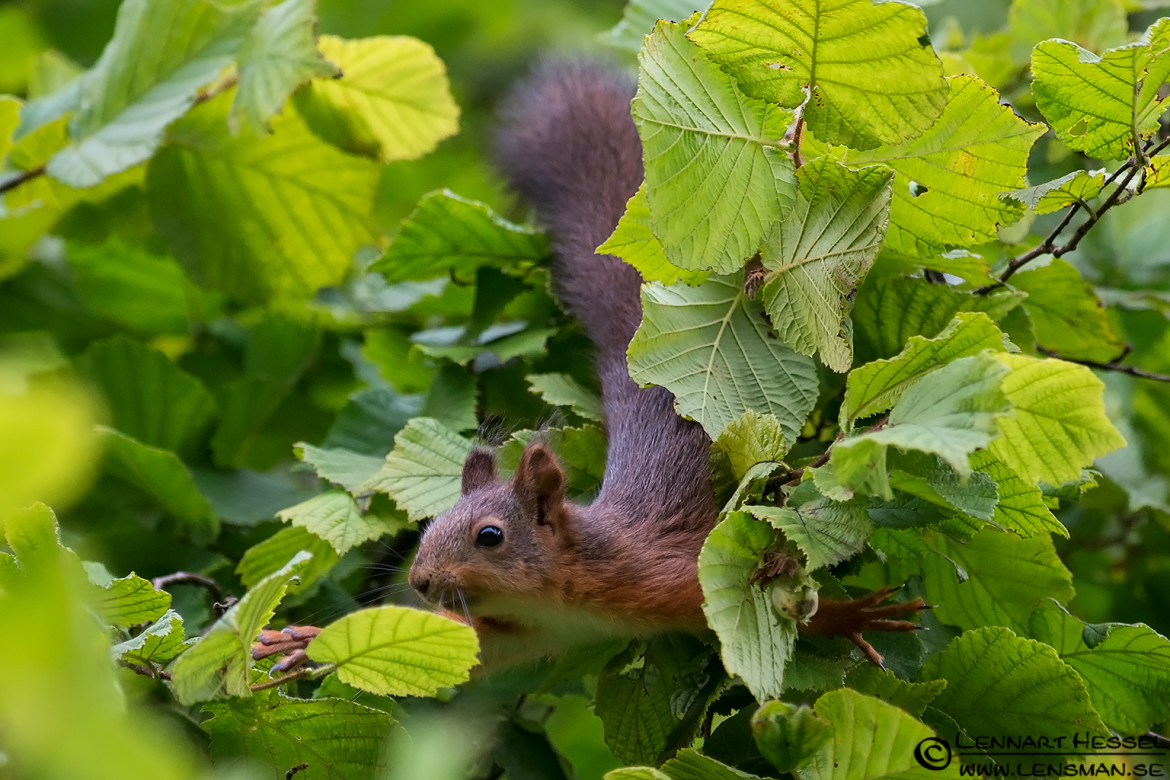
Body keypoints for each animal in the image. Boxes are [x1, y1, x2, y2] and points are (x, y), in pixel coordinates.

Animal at [255, 62, 925, 673]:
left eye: (490, 536)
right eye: (430, 526)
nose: (420, 581)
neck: (561, 592)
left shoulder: (663, 577)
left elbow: (778, 598)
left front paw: (856, 614)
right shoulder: (519, 630)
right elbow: (446, 647)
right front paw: (307, 640)